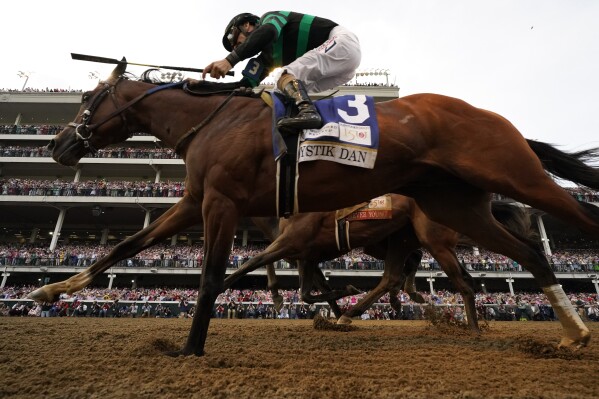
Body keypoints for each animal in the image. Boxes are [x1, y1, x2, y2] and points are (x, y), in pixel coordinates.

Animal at [30, 62, 599, 356]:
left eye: (87, 99)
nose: (57, 144)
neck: (213, 120)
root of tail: (494, 117)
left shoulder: (223, 203)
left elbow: (216, 275)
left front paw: (190, 349)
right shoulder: (196, 201)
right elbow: (126, 245)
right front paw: (51, 289)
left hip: (510, 179)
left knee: (567, 225)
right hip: (456, 206)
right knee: (526, 255)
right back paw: (570, 332)